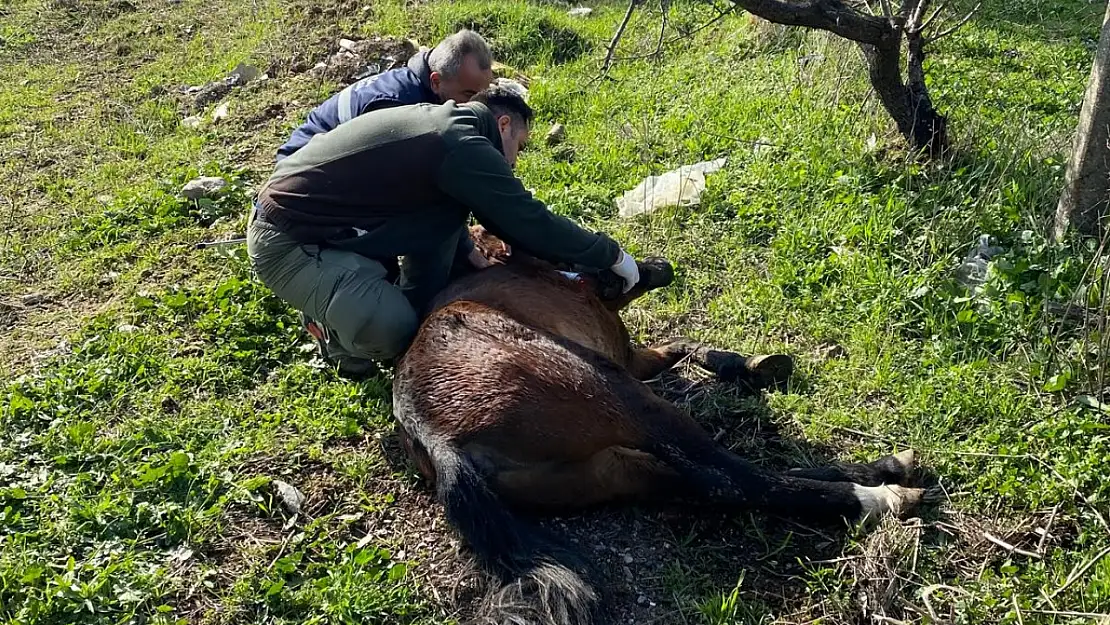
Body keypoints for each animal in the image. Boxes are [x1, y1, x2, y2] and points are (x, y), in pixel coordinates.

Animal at [390, 228, 919, 625]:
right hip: (619, 398)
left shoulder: (634, 361)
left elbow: (681, 346)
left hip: (607, 469)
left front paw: (750, 365)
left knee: (703, 484)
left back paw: (885, 471)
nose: (661, 265)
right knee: (730, 479)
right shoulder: (625, 365)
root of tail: (435, 437)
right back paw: (877, 492)